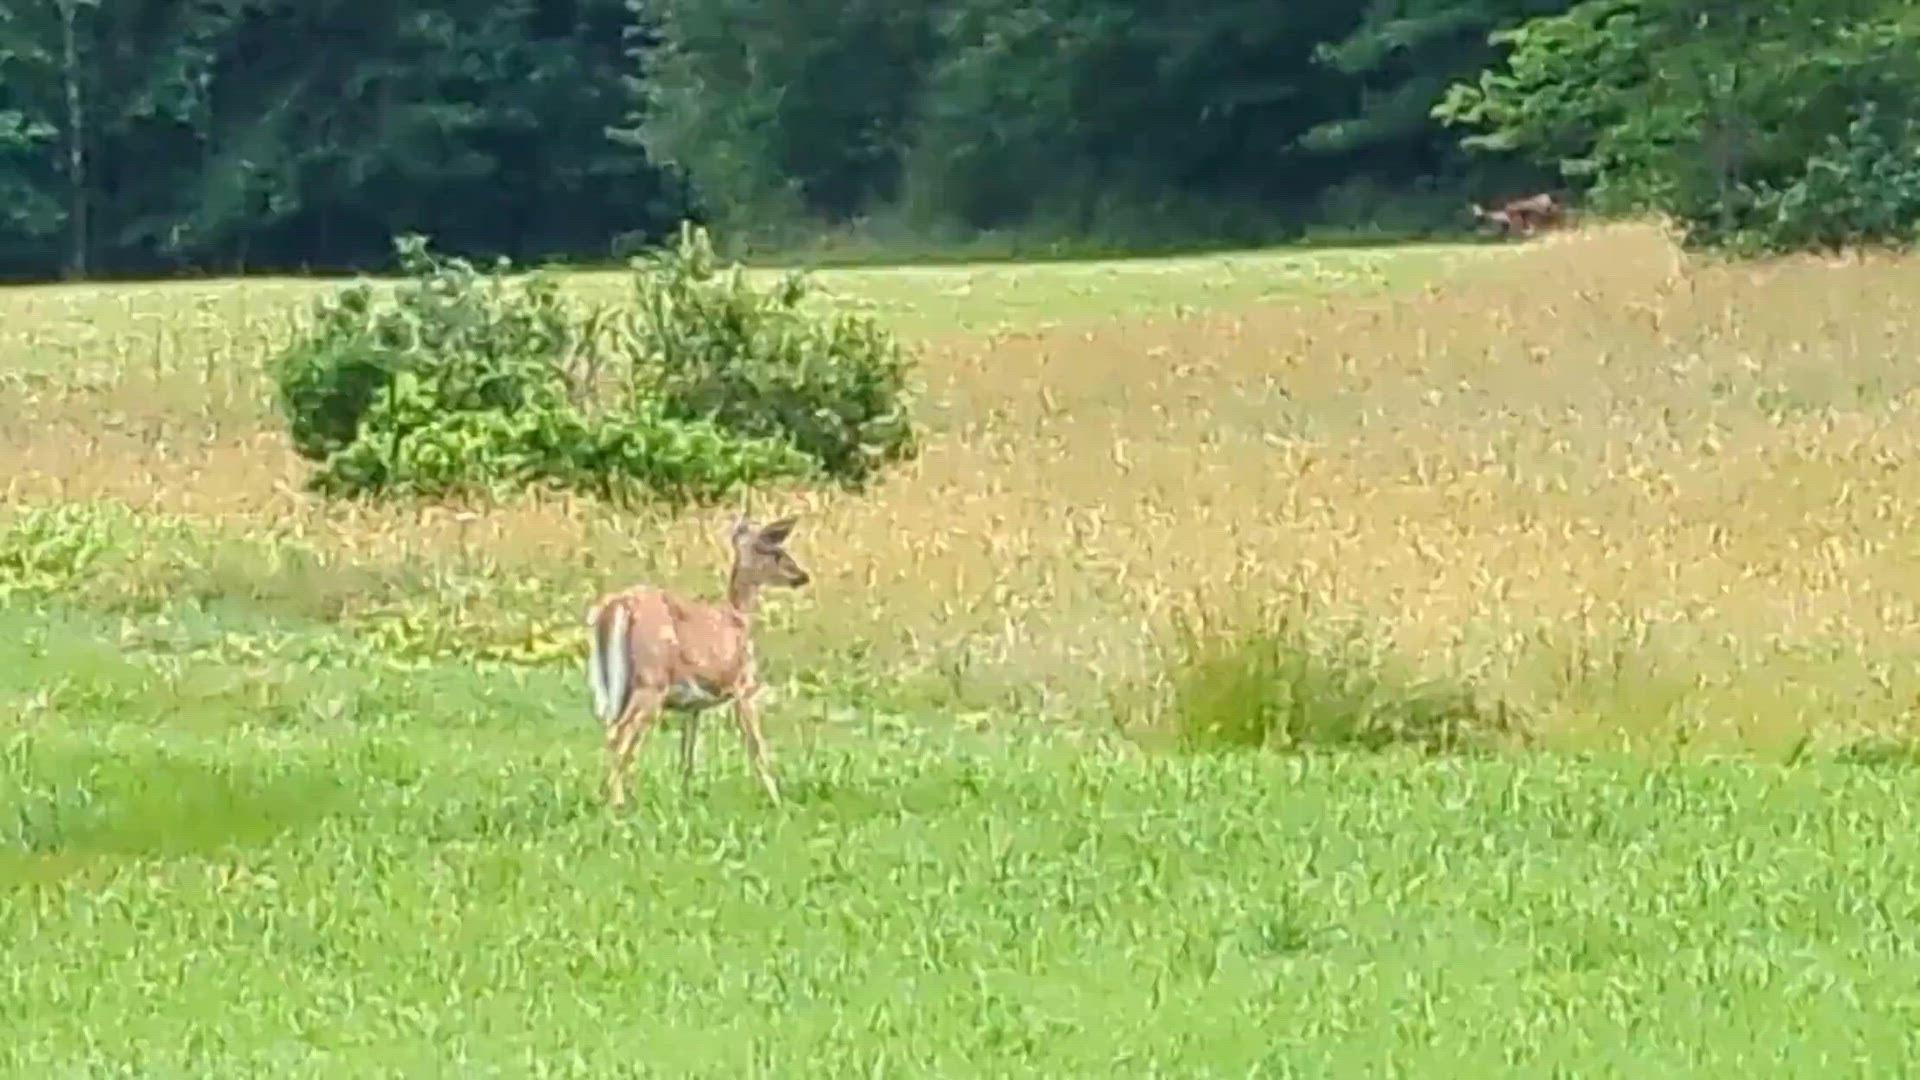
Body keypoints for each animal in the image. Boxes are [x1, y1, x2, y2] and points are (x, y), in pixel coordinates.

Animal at [583, 511, 810, 807]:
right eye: (775, 550)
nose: (802, 575)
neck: (739, 618)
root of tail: (617, 605)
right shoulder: (742, 685)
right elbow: (756, 745)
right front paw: (776, 799)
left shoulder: (693, 706)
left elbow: (688, 754)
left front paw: (686, 797)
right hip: (650, 681)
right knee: (620, 733)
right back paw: (617, 801)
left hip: (616, 684)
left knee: (612, 730)